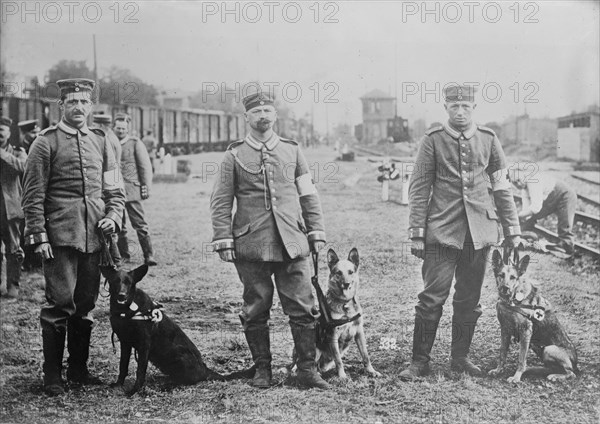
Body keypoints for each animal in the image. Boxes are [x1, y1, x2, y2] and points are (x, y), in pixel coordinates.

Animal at [103, 264, 253, 396]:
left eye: (129, 282)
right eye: (115, 281)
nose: (122, 295)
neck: (126, 309)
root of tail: (204, 368)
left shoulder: (144, 344)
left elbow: (140, 371)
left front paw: (134, 390)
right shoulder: (125, 343)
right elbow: (123, 365)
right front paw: (118, 384)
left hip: (177, 354)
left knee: (184, 381)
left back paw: (166, 386)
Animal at [310, 247, 380, 380]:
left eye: (351, 272)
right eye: (338, 273)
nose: (347, 284)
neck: (345, 303)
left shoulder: (359, 332)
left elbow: (365, 356)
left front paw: (370, 370)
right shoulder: (333, 336)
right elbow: (338, 360)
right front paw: (342, 376)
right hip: (316, 349)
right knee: (310, 366)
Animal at [490, 247, 580, 382]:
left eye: (513, 277)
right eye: (501, 275)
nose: (505, 288)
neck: (511, 301)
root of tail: (576, 363)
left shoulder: (525, 332)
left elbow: (521, 359)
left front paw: (516, 377)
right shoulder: (505, 330)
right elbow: (502, 353)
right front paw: (498, 370)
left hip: (549, 349)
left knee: (571, 373)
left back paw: (554, 376)